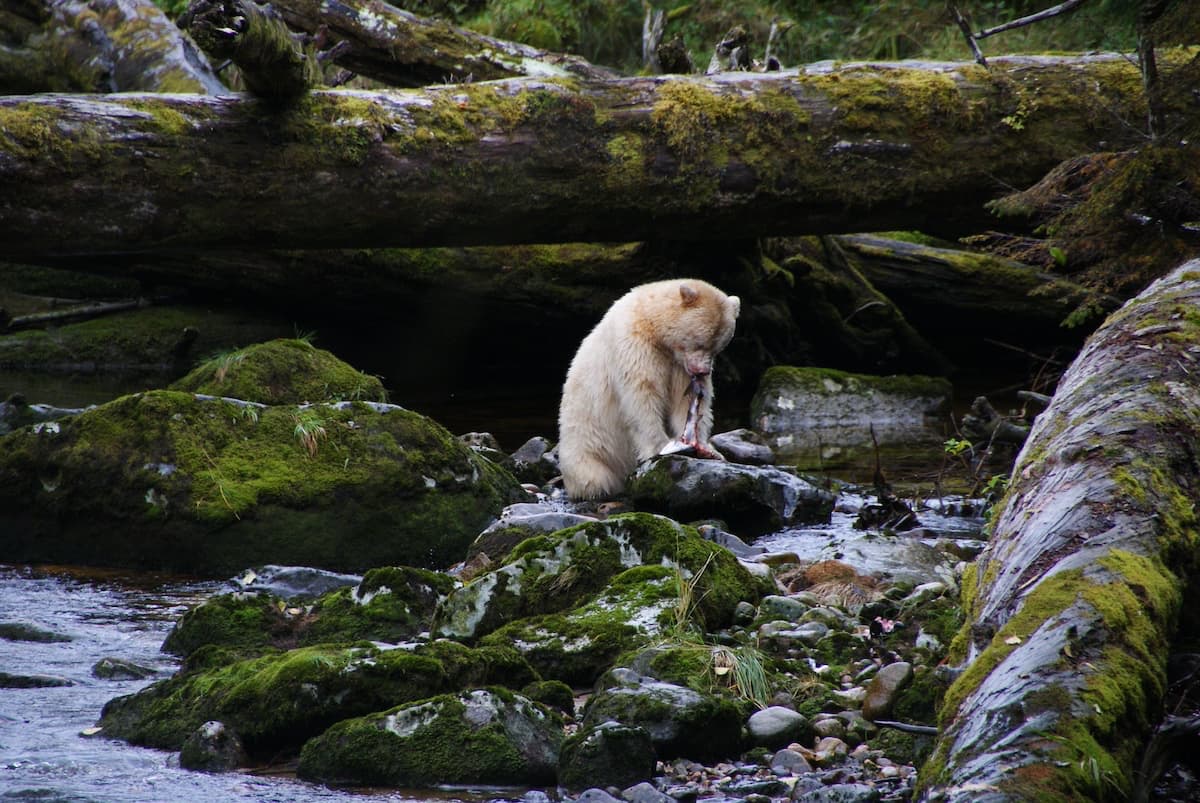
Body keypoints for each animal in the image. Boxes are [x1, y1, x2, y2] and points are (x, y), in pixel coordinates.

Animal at [554, 278, 739, 496]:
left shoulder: (679, 367)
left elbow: (685, 401)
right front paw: (661, 447)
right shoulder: (636, 346)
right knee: (593, 476)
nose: (702, 372)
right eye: (700, 341)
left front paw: (709, 450)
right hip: (587, 447)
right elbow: (642, 397)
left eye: (718, 347)